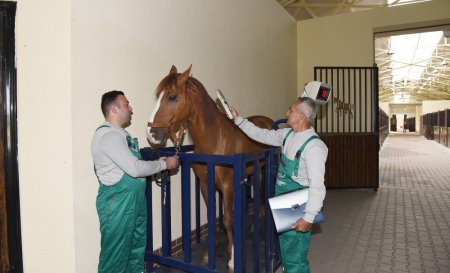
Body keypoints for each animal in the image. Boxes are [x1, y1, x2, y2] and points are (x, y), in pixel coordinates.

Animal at [149, 64, 274, 270]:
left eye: (172, 96)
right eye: (158, 95)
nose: (151, 133)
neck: (216, 140)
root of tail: (267, 121)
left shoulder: (227, 186)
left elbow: (228, 219)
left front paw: (232, 258)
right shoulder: (205, 185)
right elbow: (210, 216)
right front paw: (210, 254)